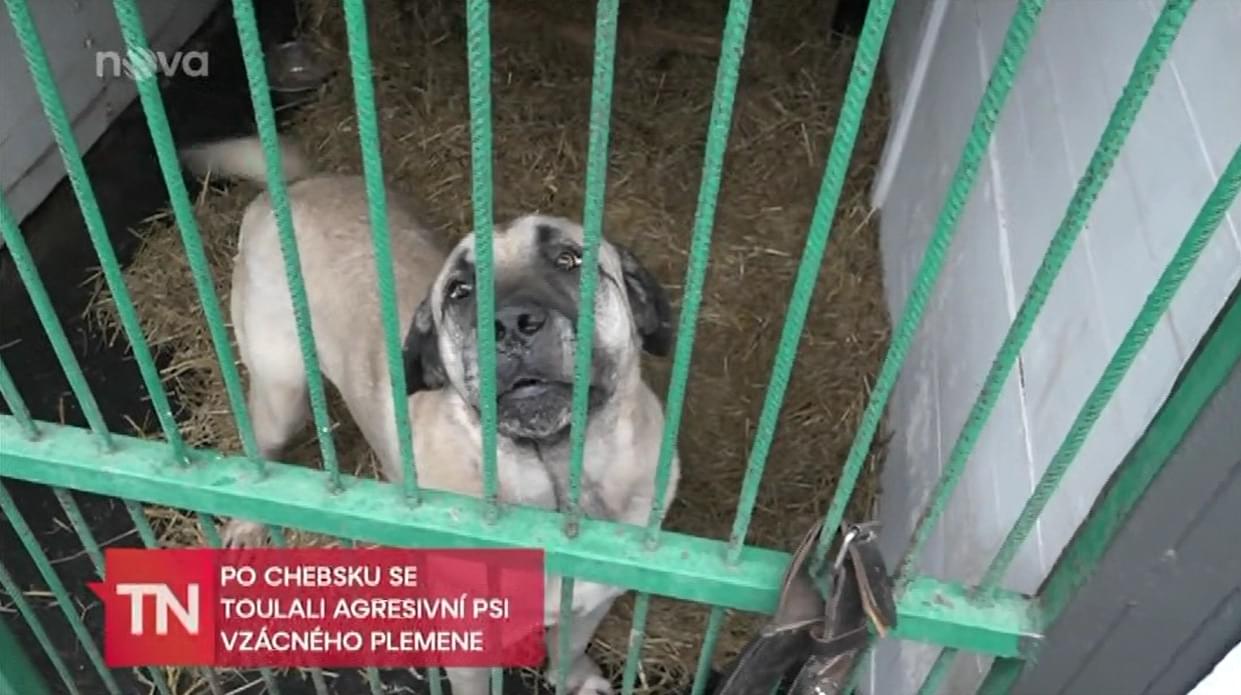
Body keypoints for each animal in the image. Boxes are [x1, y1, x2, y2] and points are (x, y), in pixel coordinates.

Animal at [180, 135, 681, 695]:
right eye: (459, 292)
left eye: (569, 259)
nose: (510, 322)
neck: (552, 484)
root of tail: (296, 187)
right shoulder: (469, 647)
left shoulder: (592, 599)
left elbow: (569, 644)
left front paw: (573, 677)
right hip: (281, 391)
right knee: (259, 450)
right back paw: (247, 524)